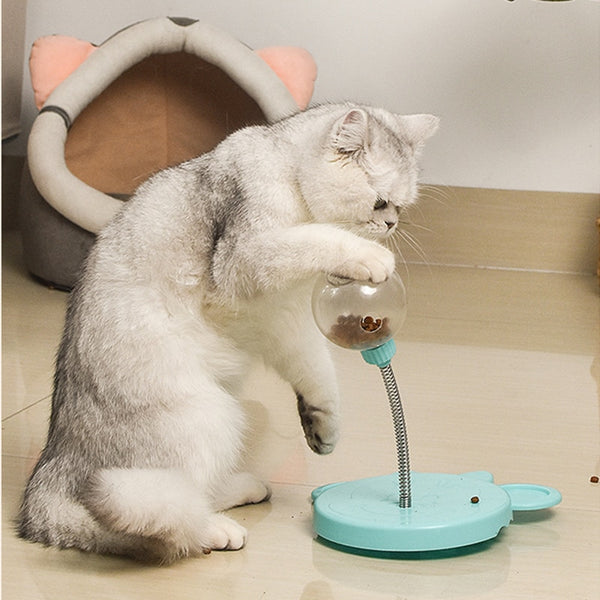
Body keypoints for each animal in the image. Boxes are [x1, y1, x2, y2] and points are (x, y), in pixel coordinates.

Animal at [17, 102, 436, 564]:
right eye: (381, 203)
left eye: (402, 206)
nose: (392, 225)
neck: (288, 175)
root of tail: (48, 474)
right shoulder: (248, 259)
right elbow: (316, 237)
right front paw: (368, 255)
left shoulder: (283, 321)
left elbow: (318, 373)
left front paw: (323, 426)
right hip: (208, 416)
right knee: (159, 521)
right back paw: (214, 531)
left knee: (194, 495)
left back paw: (244, 489)